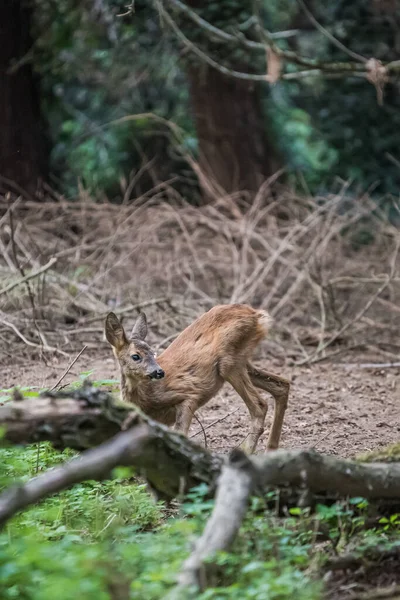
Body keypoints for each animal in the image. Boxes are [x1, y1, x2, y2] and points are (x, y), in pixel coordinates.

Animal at [104, 302, 290, 452]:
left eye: (153, 353)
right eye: (136, 356)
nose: (159, 372)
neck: (146, 400)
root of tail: (257, 315)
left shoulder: (188, 394)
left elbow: (181, 434)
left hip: (229, 360)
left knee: (260, 406)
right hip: (243, 360)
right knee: (282, 384)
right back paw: (270, 450)